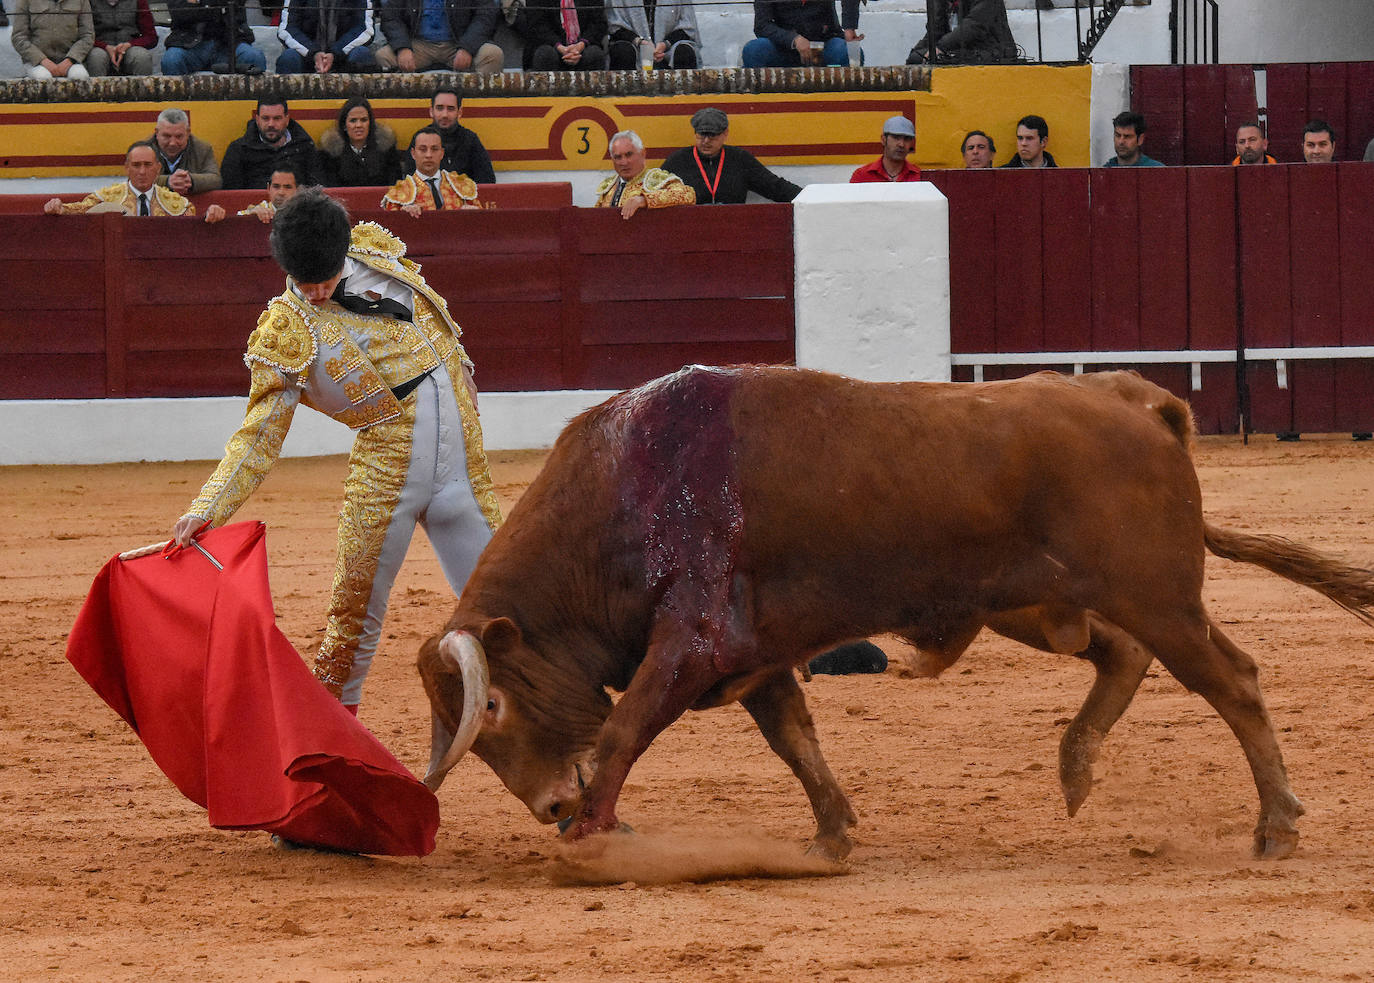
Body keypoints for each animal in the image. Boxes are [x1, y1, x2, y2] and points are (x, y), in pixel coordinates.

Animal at [414, 368, 1374, 863]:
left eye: (491, 705)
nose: (549, 805)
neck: (625, 495)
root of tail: (1136, 397)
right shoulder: (754, 652)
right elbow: (794, 738)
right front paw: (831, 834)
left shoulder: (693, 643)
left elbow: (623, 731)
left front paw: (591, 841)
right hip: (1037, 601)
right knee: (1123, 656)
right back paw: (1075, 767)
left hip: (1160, 596)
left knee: (1231, 679)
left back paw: (1276, 825)